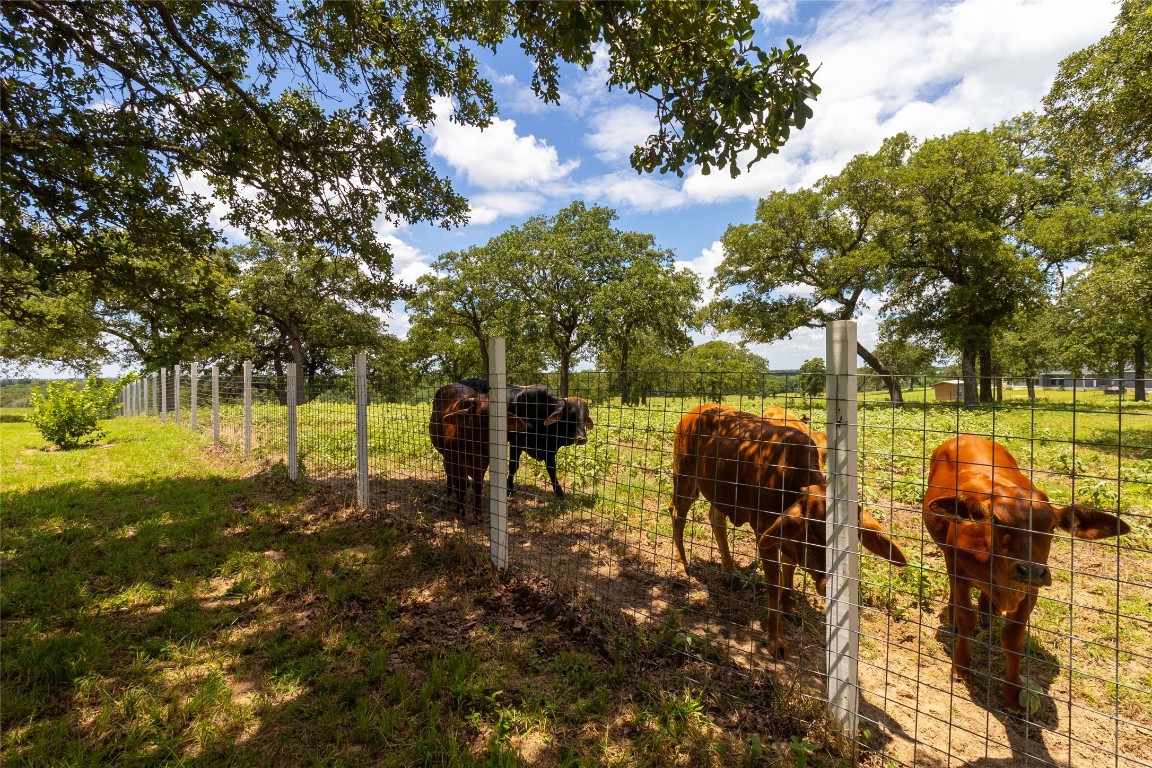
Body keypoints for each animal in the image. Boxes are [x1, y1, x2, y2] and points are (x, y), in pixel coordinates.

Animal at [921, 435, 1128, 718]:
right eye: (997, 521)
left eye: (1051, 527)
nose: (1029, 570)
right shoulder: (957, 567)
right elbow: (965, 618)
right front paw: (960, 666)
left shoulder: (1031, 589)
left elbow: (1013, 638)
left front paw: (1012, 693)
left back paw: (989, 611)